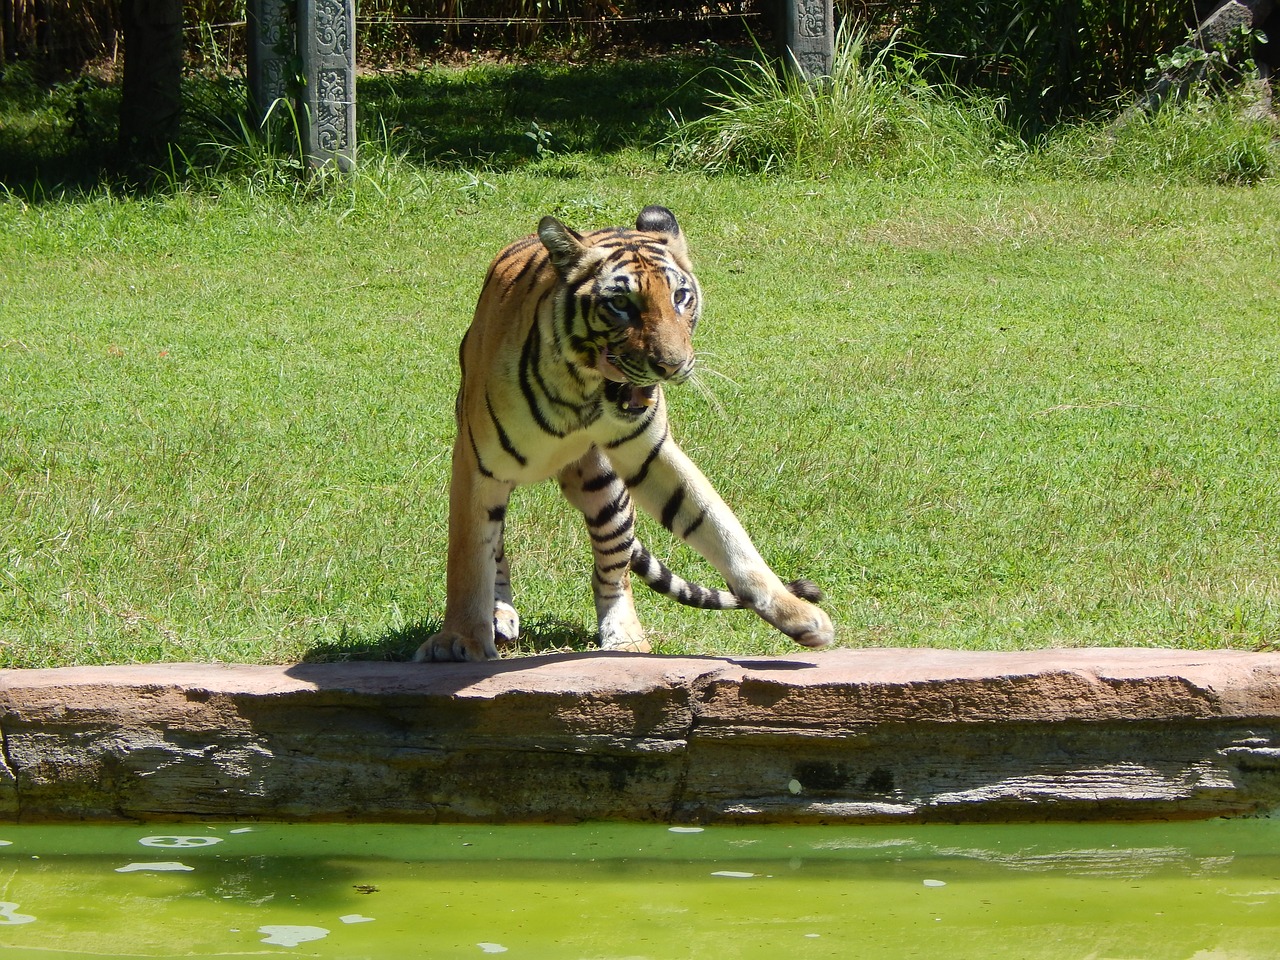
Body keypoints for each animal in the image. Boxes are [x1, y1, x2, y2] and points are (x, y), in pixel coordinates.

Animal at [414, 207, 834, 665]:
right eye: (620, 303)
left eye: (680, 297)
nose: (672, 366)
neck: (581, 392)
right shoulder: (477, 464)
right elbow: (469, 558)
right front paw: (459, 641)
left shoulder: (651, 454)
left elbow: (723, 530)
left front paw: (800, 616)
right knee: (498, 549)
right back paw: (501, 614)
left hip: (605, 490)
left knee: (612, 575)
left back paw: (626, 639)